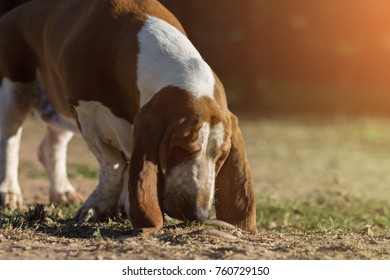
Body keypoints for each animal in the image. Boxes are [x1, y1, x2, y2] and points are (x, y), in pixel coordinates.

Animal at [0, 0, 258, 234]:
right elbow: (114, 164)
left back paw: (62, 191)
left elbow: (128, 163)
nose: (200, 214)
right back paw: (9, 192)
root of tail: (13, 14)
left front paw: (126, 205)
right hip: (14, 93)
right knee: (10, 141)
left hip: (58, 114)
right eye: (181, 148)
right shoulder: (86, 113)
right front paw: (98, 207)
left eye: (221, 156)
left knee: (51, 147)